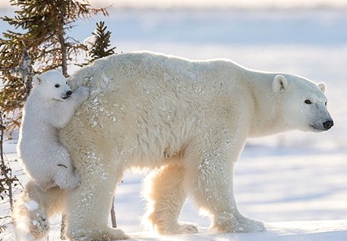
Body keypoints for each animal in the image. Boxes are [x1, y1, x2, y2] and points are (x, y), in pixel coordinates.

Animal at [17, 51, 334, 240]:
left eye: (325, 100)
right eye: (307, 101)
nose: (328, 122)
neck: (250, 91)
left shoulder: (186, 137)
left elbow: (175, 174)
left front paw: (178, 227)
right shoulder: (227, 113)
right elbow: (212, 166)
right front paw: (247, 223)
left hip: (61, 137)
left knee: (56, 178)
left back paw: (35, 217)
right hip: (100, 124)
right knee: (95, 177)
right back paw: (102, 231)